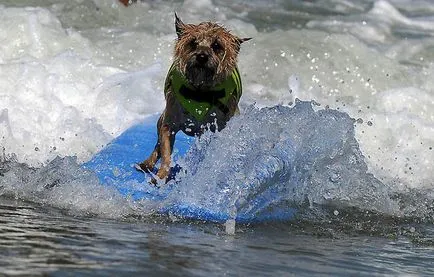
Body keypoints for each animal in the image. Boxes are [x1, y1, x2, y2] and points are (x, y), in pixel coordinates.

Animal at [137, 12, 249, 182]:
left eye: (217, 45)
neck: (200, 93)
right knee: (158, 146)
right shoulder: (169, 123)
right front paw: (161, 175)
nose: (202, 56)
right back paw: (147, 164)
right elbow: (166, 152)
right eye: (192, 43)